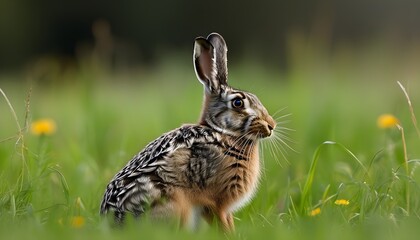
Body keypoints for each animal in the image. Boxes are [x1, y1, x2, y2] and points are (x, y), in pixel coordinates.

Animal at [101, 32, 278, 232]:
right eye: (238, 103)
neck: (222, 132)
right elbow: (221, 221)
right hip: (174, 204)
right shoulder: (215, 202)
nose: (271, 125)